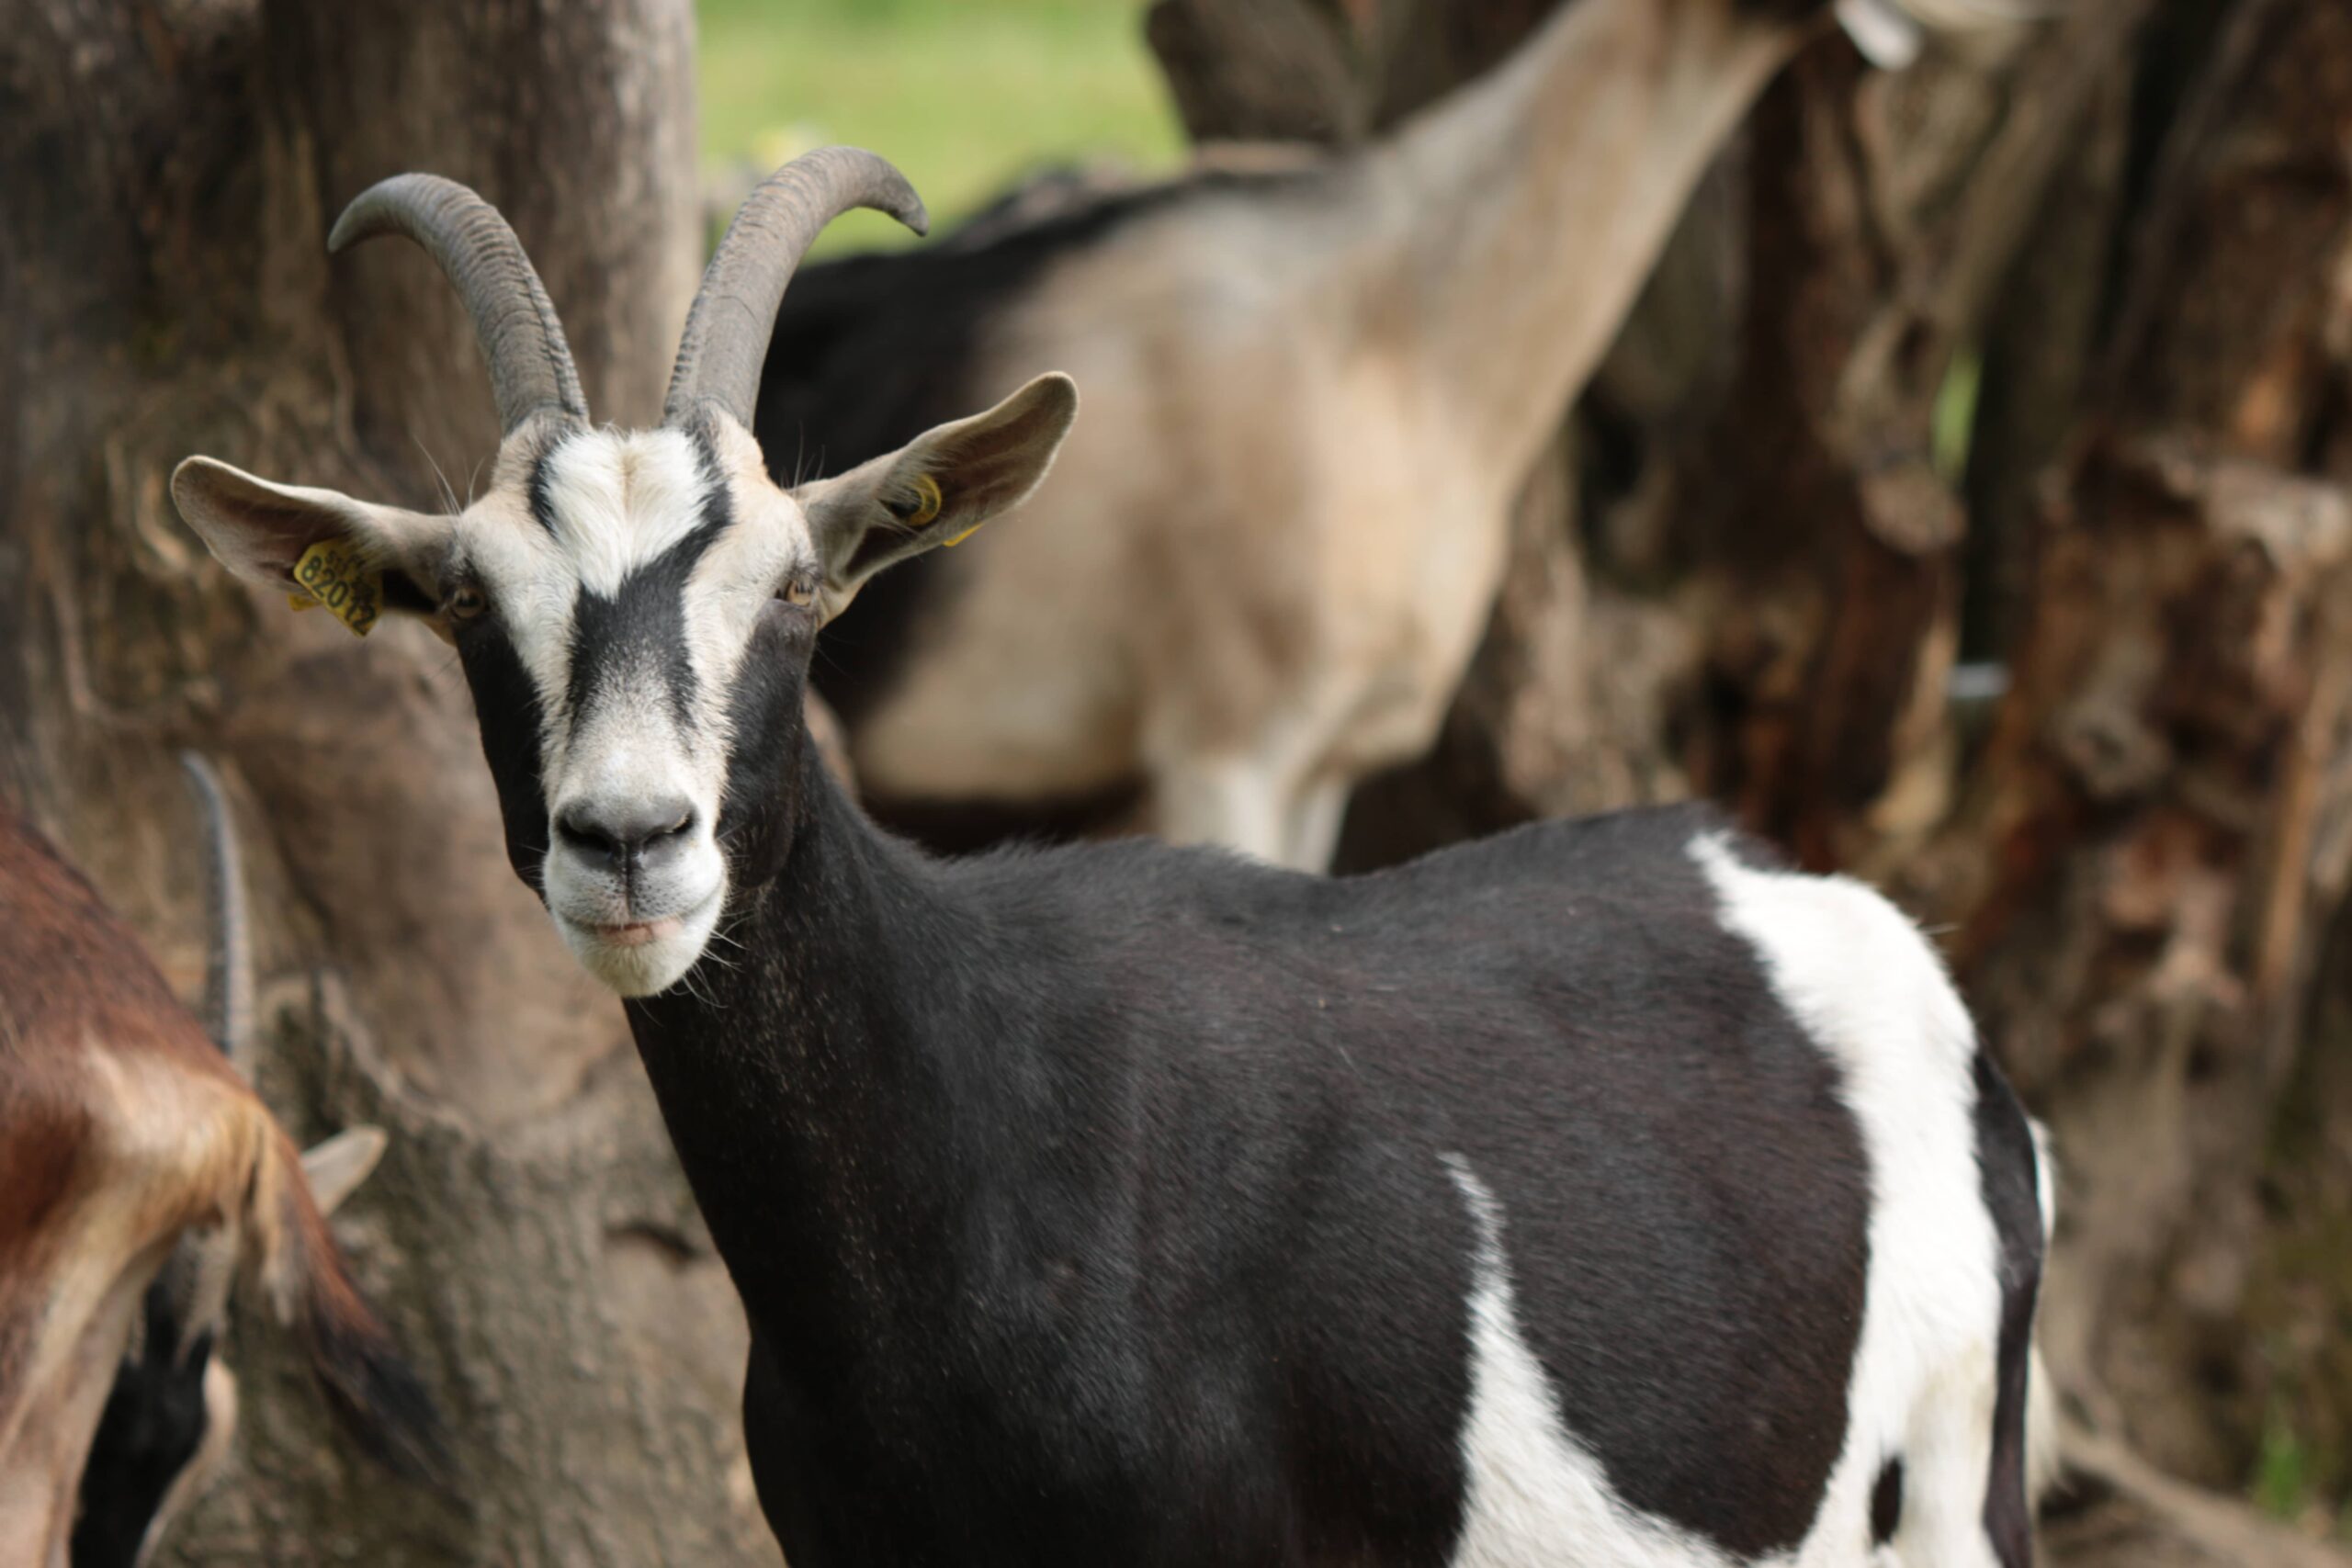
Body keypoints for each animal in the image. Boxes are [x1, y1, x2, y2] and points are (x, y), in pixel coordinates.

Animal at [170, 150, 2041, 1568]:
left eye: (799, 587)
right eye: (467, 604)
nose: (629, 839)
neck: (990, 1155)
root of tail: (1806, 895)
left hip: (1959, 1480)